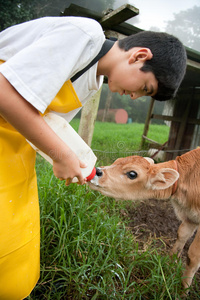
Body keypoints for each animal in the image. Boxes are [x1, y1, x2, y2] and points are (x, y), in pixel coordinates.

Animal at [88, 148, 200, 292]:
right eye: (116, 161)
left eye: (132, 173)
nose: (97, 171)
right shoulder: (189, 217)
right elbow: (181, 236)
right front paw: (168, 264)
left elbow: (193, 256)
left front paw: (183, 290)